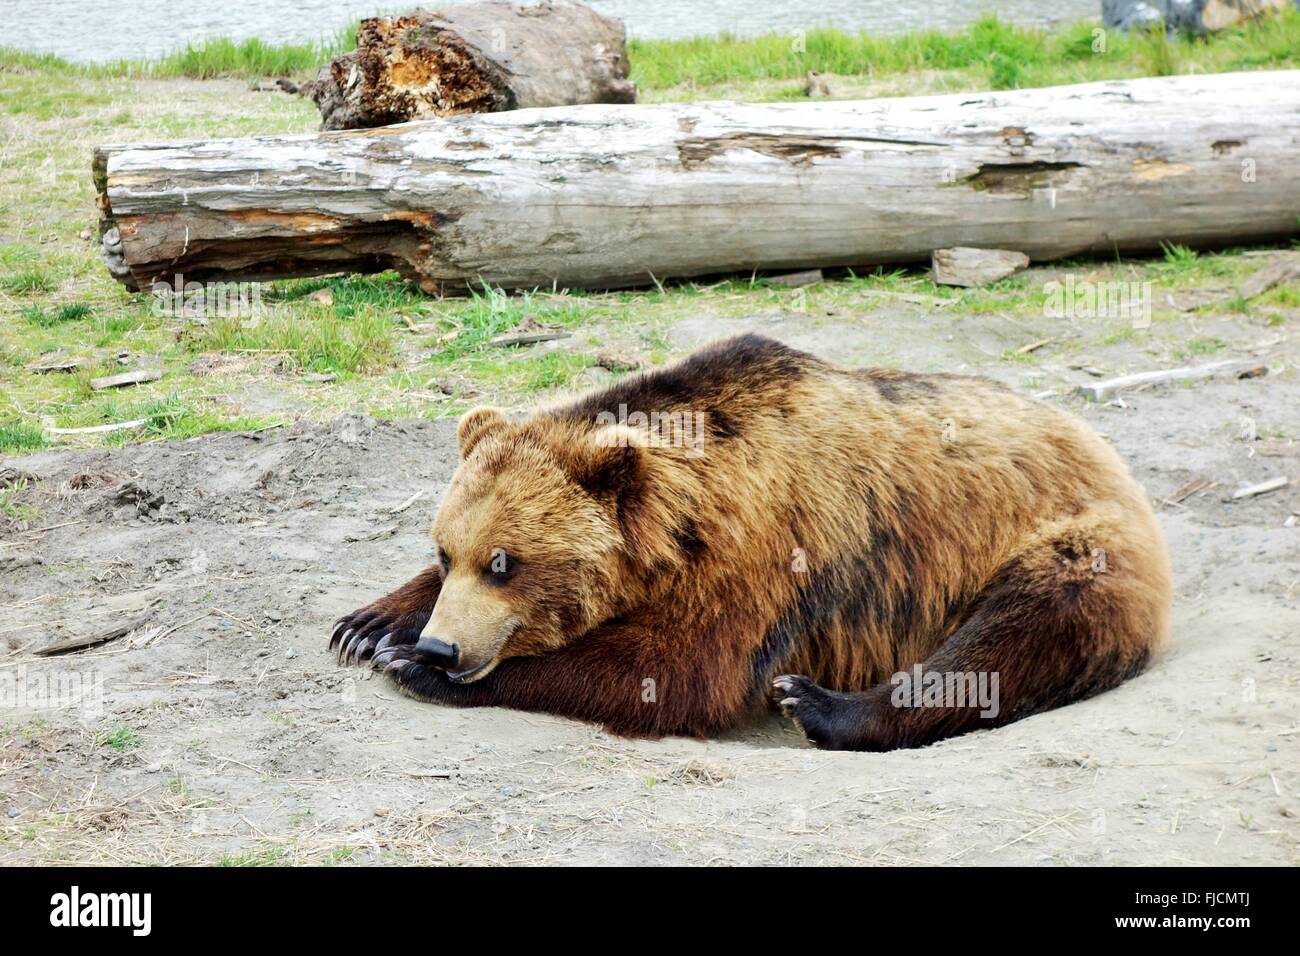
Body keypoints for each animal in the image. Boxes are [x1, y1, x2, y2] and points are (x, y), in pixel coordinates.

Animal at [330, 334, 1172, 751]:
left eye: (507, 564)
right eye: (449, 553)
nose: (443, 648)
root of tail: (1103, 448)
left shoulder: (773, 543)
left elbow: (679, 669)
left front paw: (410, 663)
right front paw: (370, 622)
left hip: (1067, 541)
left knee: (1020, 630)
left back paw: (822, 705)